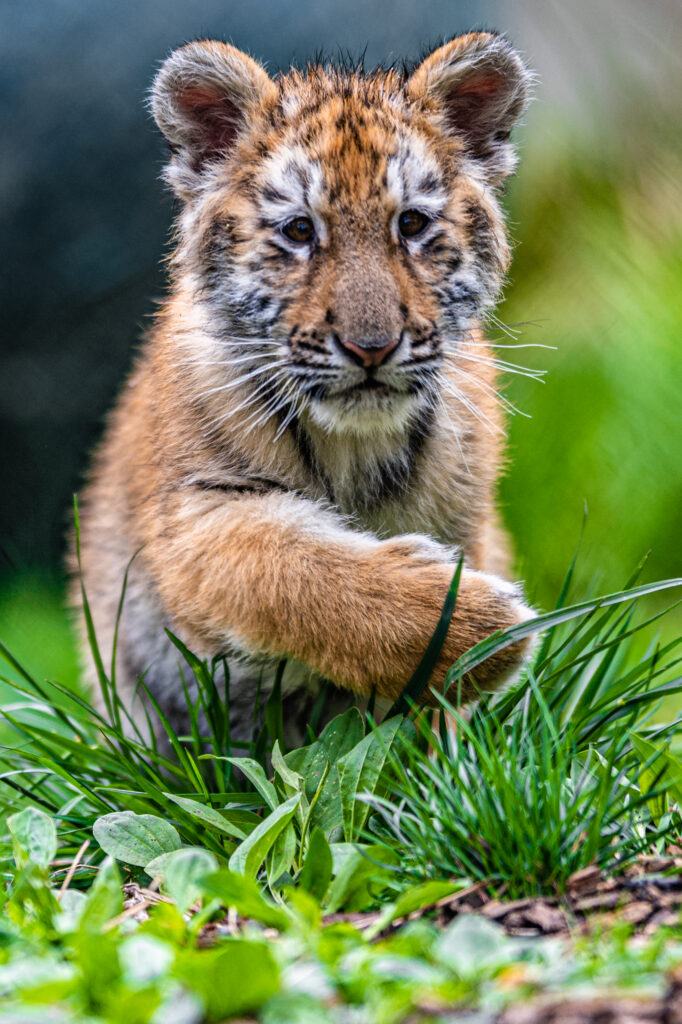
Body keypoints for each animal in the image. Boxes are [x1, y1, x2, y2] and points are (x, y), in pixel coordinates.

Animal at [73, 31, 536, 746]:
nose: (372, 346)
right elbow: (291, 572)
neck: (355, 447)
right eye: (299, 231)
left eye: (411, 225)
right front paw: (485, 634)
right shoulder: (194, 514)